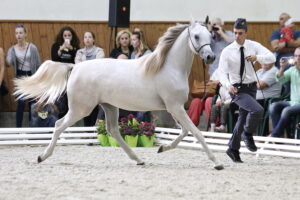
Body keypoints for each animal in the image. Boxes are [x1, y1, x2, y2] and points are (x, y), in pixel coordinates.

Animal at [15, 21, 224, 170]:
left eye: (209, 36)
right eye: (196, 36)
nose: (210, 57)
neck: (168, 68)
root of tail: (74, 67)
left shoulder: (174, 108)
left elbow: (185, 132)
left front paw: (161, 148)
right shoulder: (175, 107)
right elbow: (196, 132)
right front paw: (217, 162)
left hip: (109, 107)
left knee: (113, 130)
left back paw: (138, 159)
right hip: (80, 109)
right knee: (59, 125)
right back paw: (42, 157)